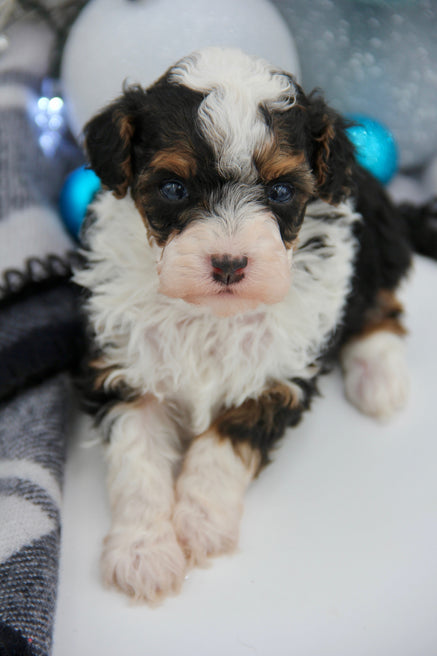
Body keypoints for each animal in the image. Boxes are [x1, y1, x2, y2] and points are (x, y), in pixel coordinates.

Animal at [75, 47, 436, 604]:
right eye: (174, 187)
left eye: (282, 189)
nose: (229, 264)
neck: (210, 312)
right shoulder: (125, 364)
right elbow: (137, 460)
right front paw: (143, 552)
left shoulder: (275, 373)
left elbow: (222, 450)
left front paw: (201, 522)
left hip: (376, 238)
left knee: (382, 304)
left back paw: (379, 377)